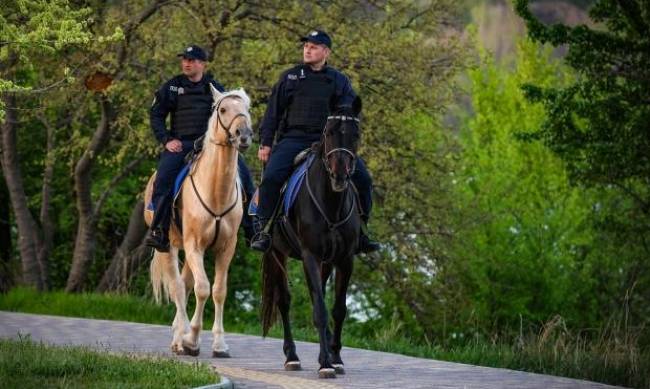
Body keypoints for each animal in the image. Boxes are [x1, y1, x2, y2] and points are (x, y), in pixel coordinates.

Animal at [143, 87, 252, 354]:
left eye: (247, 108)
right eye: (223, 109)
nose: (243, 135)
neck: (216, 191)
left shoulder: (225, 248)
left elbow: (219, 291)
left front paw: (220, 344)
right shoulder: (195, 246)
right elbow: (202, 289)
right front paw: (191, 340)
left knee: (184, 284)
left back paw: (177, 335)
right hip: (168, 247)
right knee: (177, 287)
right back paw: (179, 339)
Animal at [260, 98, 362, 378]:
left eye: (356, 134)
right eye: (329, 132)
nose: (340, 175)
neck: (331, 203)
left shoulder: (345, 259)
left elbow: (338, 310)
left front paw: (335, 358)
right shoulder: (310, 256)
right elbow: (319, 310)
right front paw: (326, 363)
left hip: (326, 261)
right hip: (277, 253)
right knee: (284, 301)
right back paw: (292, 357)